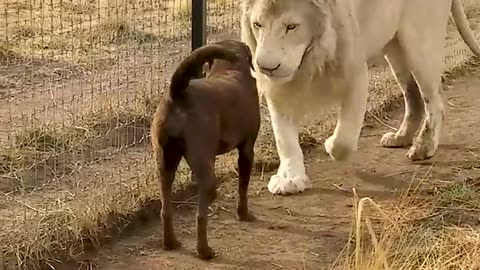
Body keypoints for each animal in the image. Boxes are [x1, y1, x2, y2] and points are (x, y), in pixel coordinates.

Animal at [152, 39, 260, 260]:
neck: (229, 69)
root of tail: (178, 92)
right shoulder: (247, 149)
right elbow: (243, 186)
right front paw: (243, 214)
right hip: (202, 162)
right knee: (201, 214)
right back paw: (204, 251)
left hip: (164, 161)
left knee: (165, 208)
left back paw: (170, 243)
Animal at [242, 0, 480, 194]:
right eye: (258, 25)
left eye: (292, 26)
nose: (266, 67)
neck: (312, 57)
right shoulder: (278, 89)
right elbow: (284, 139)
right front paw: (290, 179)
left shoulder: (355, 73)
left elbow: (344, 141)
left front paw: (329, 144)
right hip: (394, 47)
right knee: (412, 95)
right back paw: (400, 137)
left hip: (419, 43)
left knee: (435, 100)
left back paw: (424, 147)